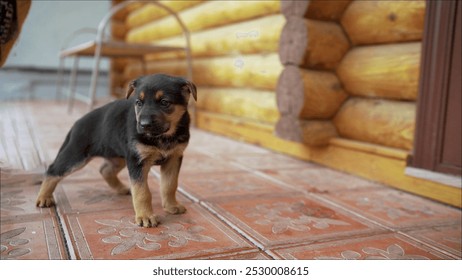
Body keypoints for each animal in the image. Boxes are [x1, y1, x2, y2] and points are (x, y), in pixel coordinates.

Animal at [35, 74, 195, 228]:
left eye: (164, 102)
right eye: (139, 103)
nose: (144, 125)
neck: (164, 136)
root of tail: (77, 123)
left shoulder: (173, 158)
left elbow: (170, 185)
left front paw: (171, 206)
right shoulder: (136, 161)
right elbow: (142, 192)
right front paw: (145, 216)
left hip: (118, 157)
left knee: (105, 170)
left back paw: (122, 188)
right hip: (76, 155)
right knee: (53, 170)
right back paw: (44, 197)